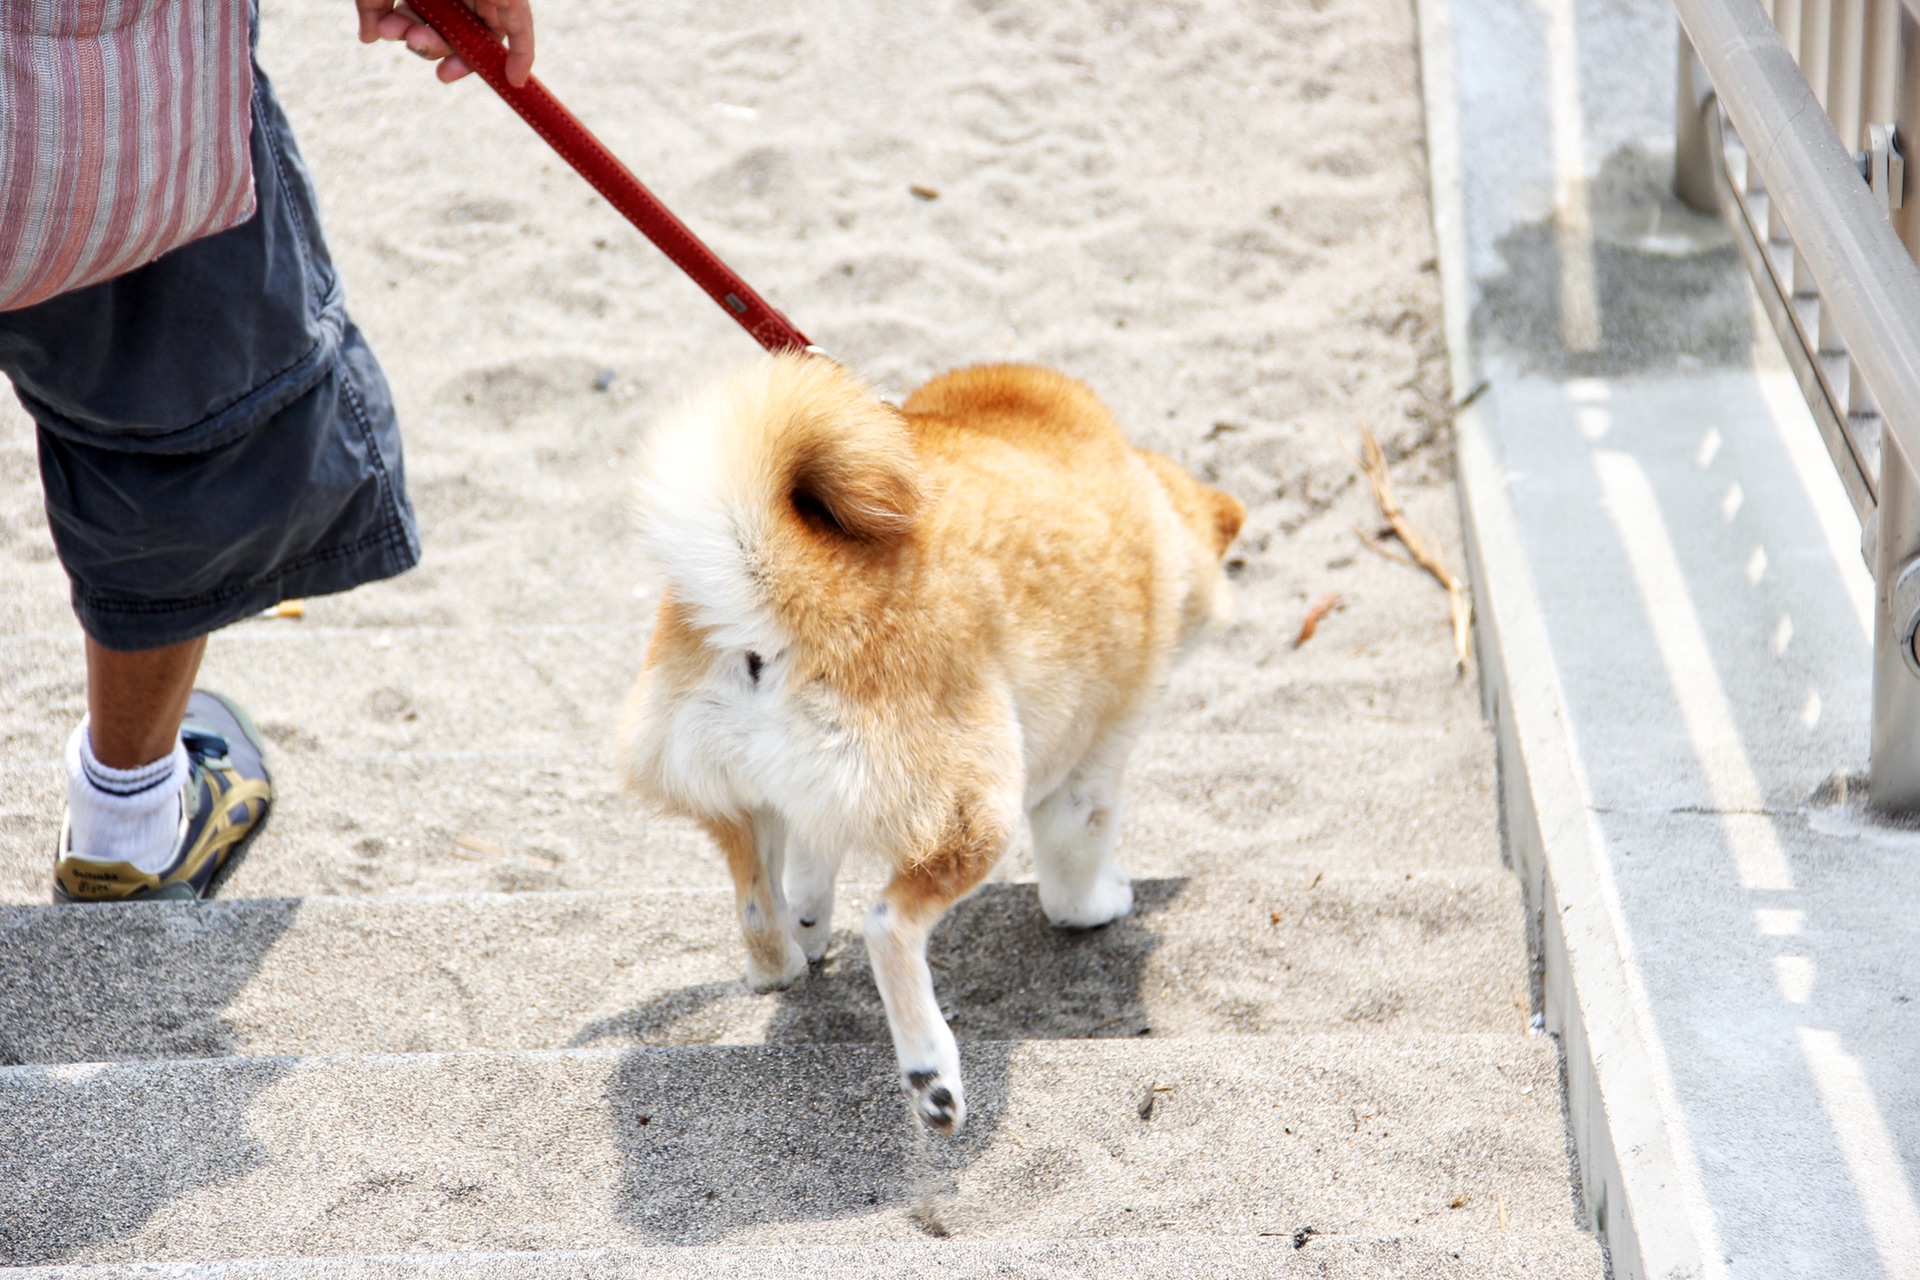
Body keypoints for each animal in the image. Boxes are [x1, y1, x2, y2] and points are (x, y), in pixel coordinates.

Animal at [614, 351, 1244, 1128]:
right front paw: (1106, 903)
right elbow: (1070, 886)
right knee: (889, 924)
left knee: (759, 912)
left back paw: (785, 962)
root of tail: (788, 584)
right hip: (975, 804)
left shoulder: (813, 802)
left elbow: (810, 873)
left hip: (734, 793)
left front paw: (811, 924)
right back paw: (931, 1073)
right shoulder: (1088, 771)